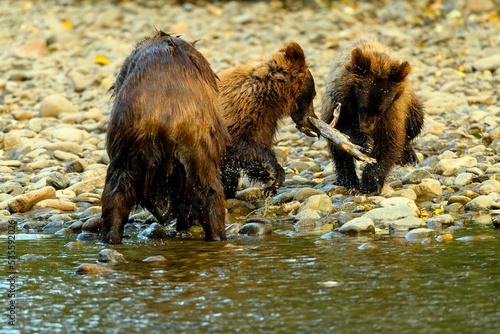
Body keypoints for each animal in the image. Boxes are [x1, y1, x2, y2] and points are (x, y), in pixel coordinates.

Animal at [220, 42, 320, 198]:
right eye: (313, 94)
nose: (313, 119)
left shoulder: (264, 121)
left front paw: (269, 181)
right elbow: (244, 148)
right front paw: (274, 175)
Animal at [320, 39, 426, 196]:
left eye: (380, 110)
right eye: (363, 107)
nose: (367, 129)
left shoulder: (392, 110)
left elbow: (388, 141)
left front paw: (370, 185)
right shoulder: (339, 100)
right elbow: (335, 129)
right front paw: (365, 143)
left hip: (411, 106)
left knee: (415, 122)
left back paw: (408, 156)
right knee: (340, 153)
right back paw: (347, 180)